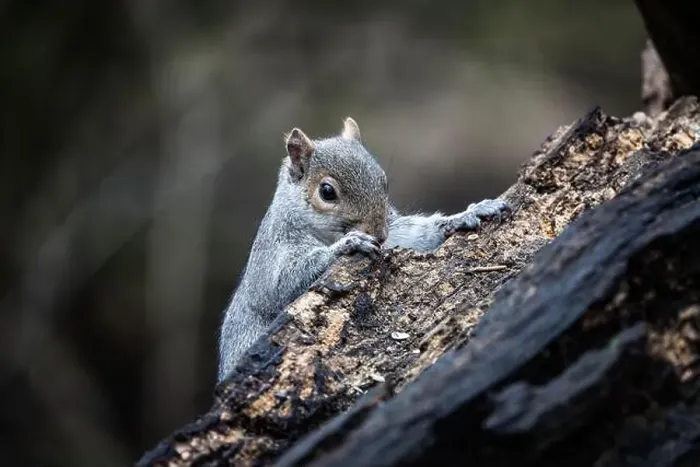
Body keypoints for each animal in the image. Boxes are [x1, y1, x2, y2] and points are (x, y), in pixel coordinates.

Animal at [217, 117, 510, 382]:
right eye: (327, 192)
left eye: (384, 181)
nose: (379, 235)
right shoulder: (274, 253)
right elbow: (280, 287)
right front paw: (349, 244)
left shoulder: (395, 231)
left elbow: (414, 234)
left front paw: (466, 214)